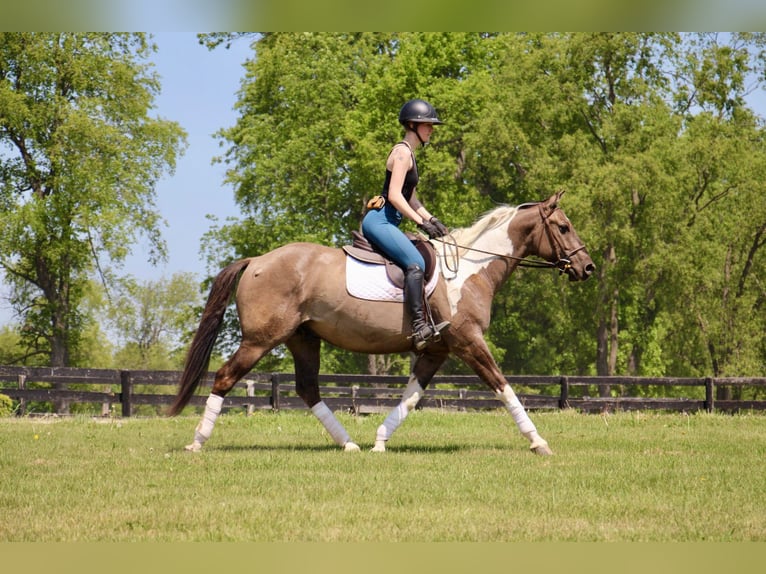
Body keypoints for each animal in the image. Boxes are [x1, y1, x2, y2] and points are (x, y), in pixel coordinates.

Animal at [171, 191, 596, 456]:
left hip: (302, 338)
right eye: (563, 227)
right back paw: (197, 442)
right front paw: (538, 442)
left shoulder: (437, 350)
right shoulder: (468, 341)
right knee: (225, 377)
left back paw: (349, 444)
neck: (470, 269)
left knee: (308, 389)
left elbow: (411, 396)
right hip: (260, 340)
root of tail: (257, 260)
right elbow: (504, 387)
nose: (587, 267)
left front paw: (378, 441)